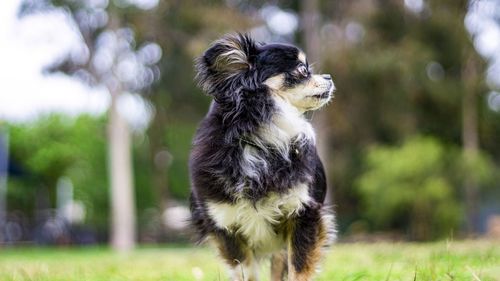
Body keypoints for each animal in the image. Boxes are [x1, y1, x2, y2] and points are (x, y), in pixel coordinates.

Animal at [190, 33, 336, 280]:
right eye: (302, 71)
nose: (329, 76)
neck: (262, 139)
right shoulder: (226, 225)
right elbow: (246, 271)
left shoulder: (304, 214)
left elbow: (298, 268)